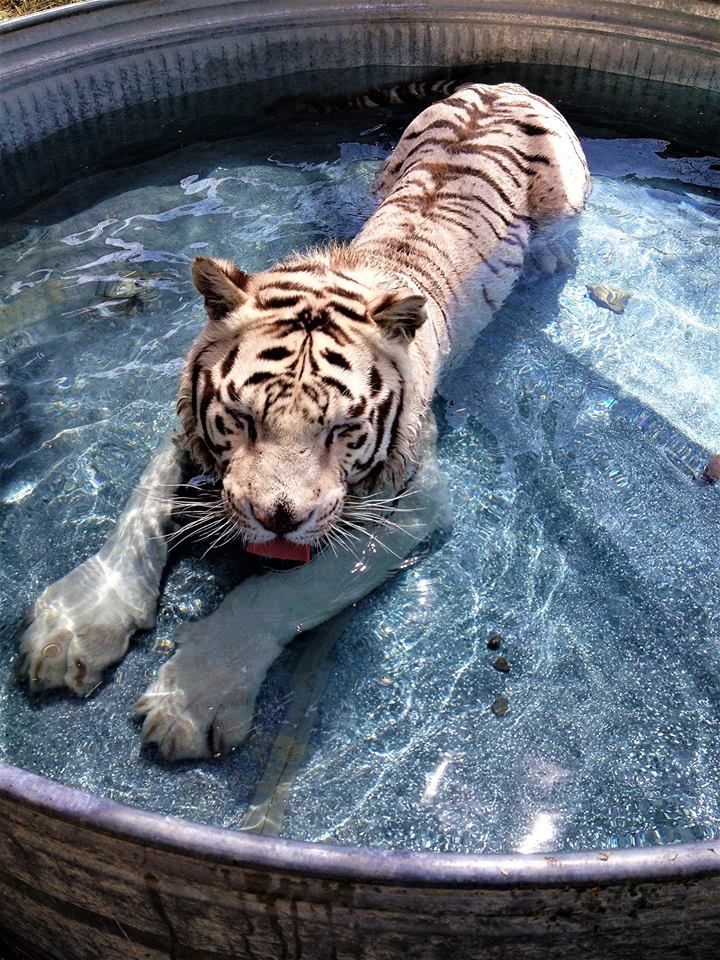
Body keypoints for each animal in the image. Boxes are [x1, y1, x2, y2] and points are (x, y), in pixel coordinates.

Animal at [16, 82, 592, 756]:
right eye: (242, 418)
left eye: (341, 430)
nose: (278, 519)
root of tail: (507, 85)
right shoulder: (185, 435)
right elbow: (139, 513)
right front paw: (77, 624)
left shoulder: (415, 502)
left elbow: (281, 592)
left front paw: (194, 696)